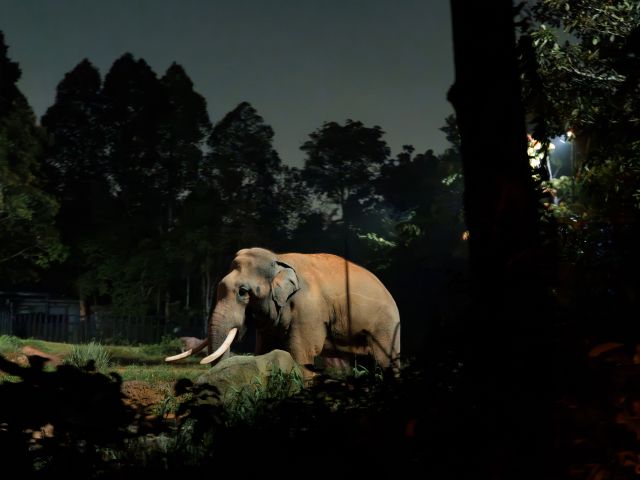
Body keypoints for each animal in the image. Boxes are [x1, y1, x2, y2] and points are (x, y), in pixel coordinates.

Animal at [165, 247, 401, 380]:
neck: (278, 259)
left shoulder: (309, 310)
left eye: (243, 292)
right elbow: (266, 348)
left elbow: (301, 352)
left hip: (386, 326)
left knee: (385, 361)